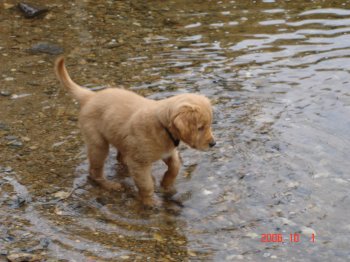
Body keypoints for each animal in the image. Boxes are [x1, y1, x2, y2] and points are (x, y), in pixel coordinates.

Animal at [54, 57, 216, 207]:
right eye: (200, 128)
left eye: (209, 125)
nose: (213, 144)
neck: (162, 126)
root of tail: (91, 96)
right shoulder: (140, 163)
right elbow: (146, 184)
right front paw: (150, 201)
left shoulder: (168, 152)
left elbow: (175, 167)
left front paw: (166, 184)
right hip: (98, 143)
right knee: (94, 171)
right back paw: (109, 185)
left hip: (120, 138)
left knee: (120, 157)